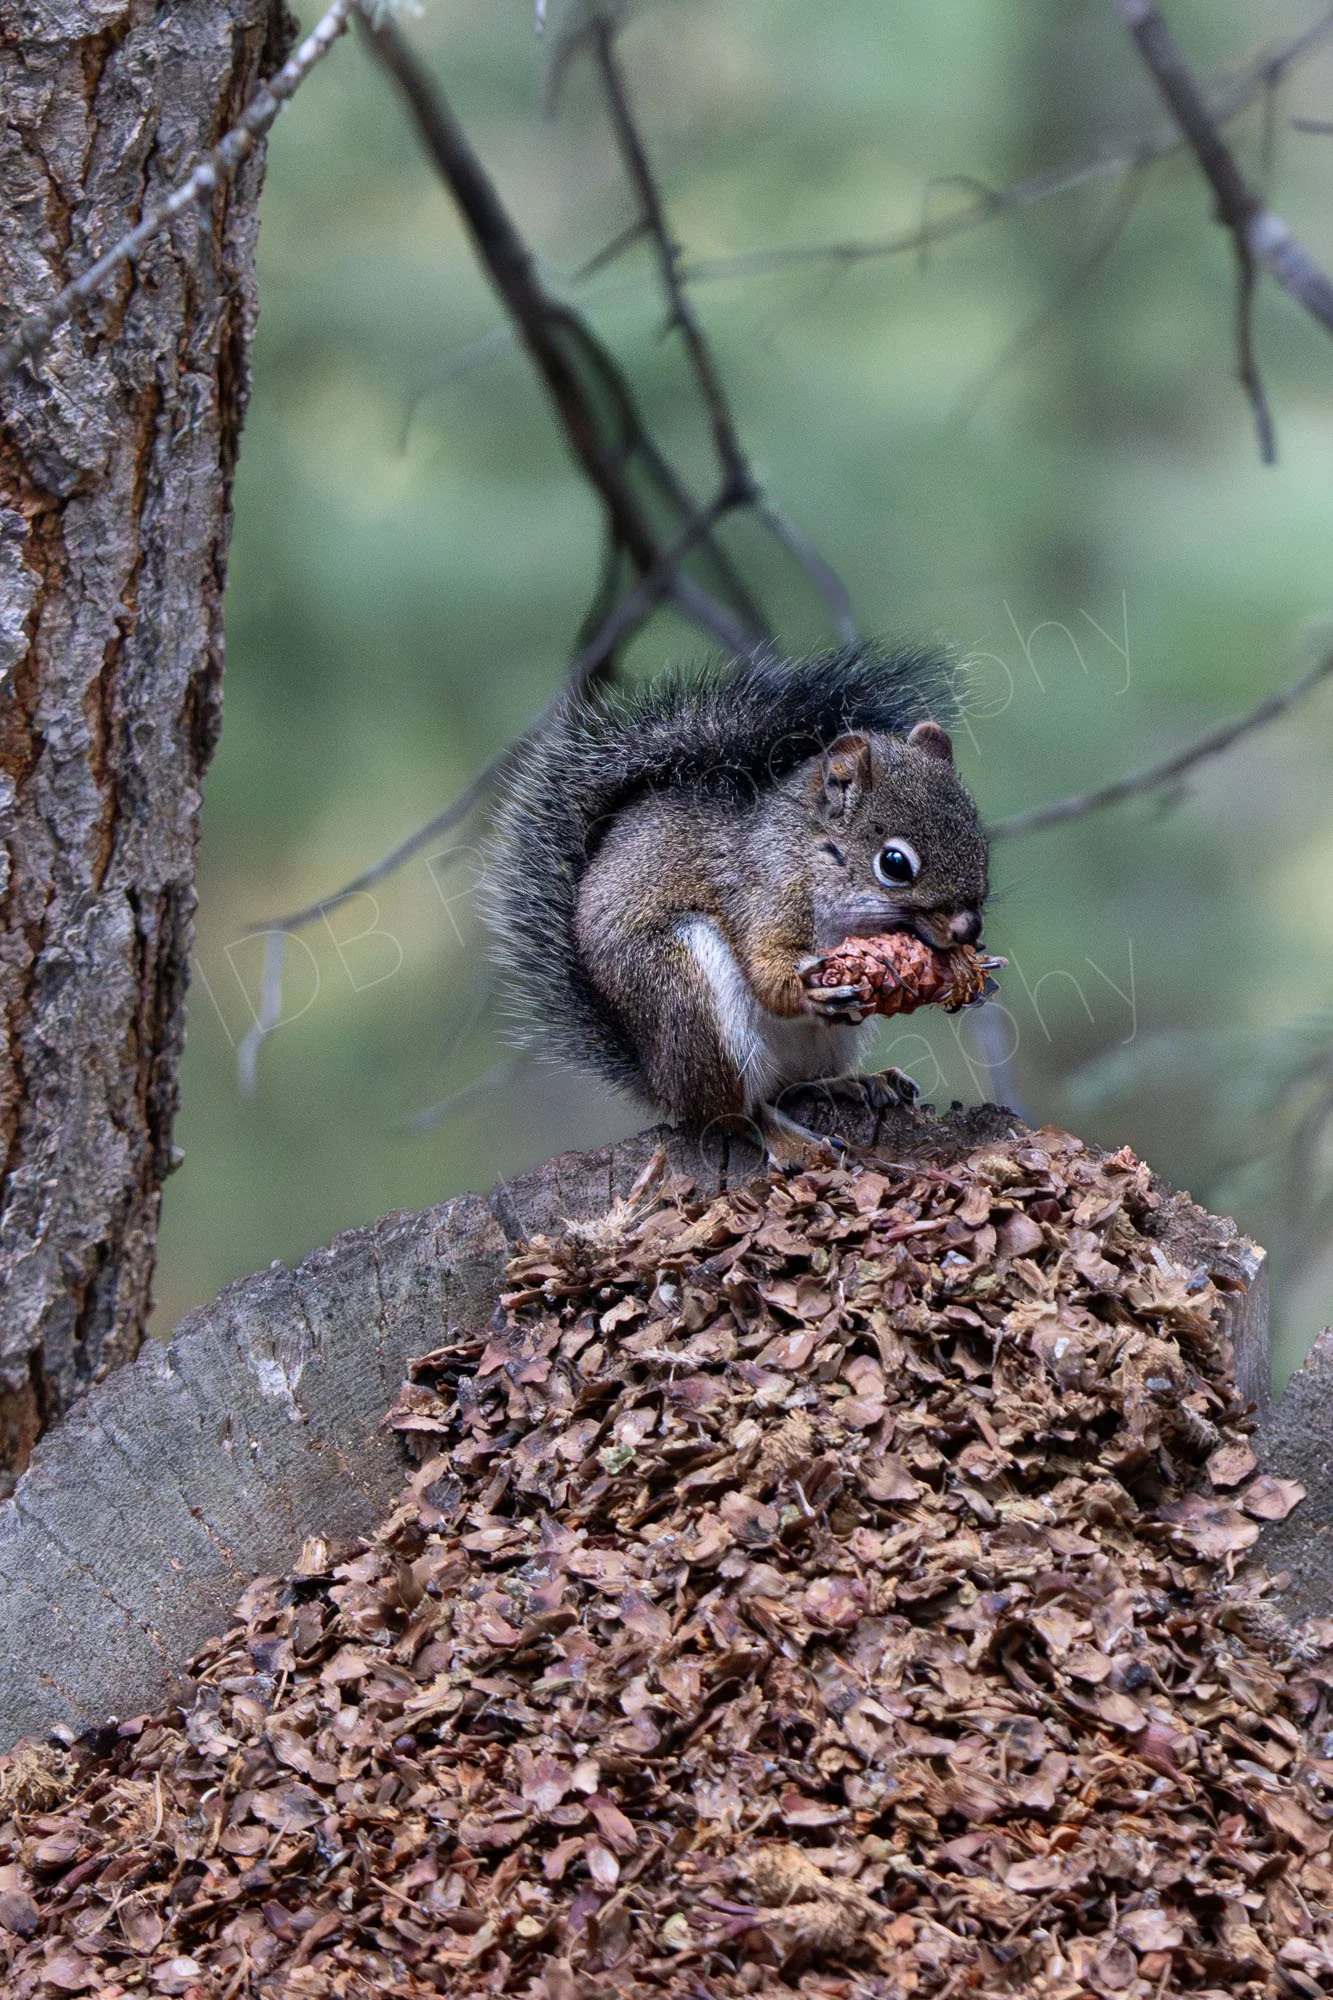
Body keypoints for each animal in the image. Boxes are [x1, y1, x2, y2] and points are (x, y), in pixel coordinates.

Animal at [484, 645, 989, 1168]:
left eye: (978, 834)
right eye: (894, 863)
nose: (969, 928)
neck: (811, 850)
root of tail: (659, 1081)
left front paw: (966, 972)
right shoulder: (762, 893)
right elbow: (766, 970)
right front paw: (807, 991)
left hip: (822, 1043)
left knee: (795, 1086)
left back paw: (856, 1082)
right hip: (688, 999)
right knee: (731, 1115)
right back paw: (787, 1138)